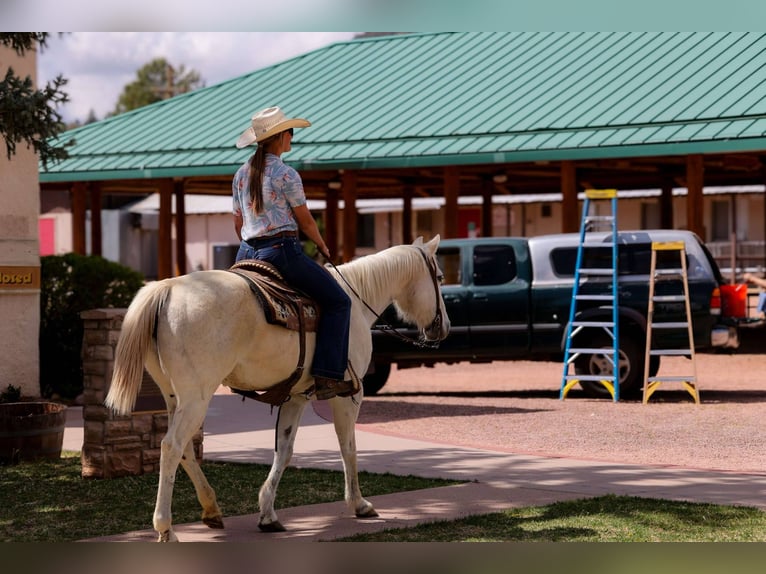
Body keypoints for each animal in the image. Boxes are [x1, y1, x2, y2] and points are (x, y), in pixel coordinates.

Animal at [104, 236, 450, 542]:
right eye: (440, 277)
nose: (443, 327)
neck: (355, 301)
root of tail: (167, 288)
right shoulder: (348, 395)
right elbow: (348, 447)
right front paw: (359, 504)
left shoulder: (296, 397)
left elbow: (284, 451)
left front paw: (268, 514)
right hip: (197, 396)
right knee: (171, 446)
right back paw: (166, 528)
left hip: (175, 396)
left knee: (185, 448)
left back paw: (211, 509)